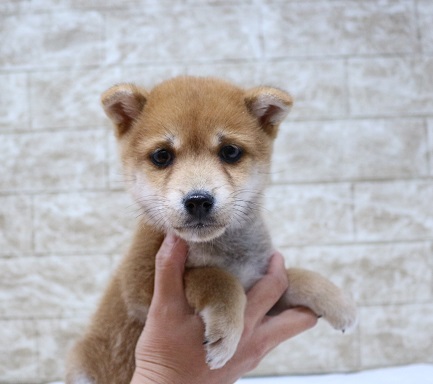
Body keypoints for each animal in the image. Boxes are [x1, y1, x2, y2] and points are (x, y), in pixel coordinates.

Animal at [66, 76, 356, 382]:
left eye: (230, 151)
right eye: (162, 156)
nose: (198, 200)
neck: (225, 251)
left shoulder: (259, 278)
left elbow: (293, 276)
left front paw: (336, 300)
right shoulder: (141, 284)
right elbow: (215, 278)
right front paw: (225, 333)